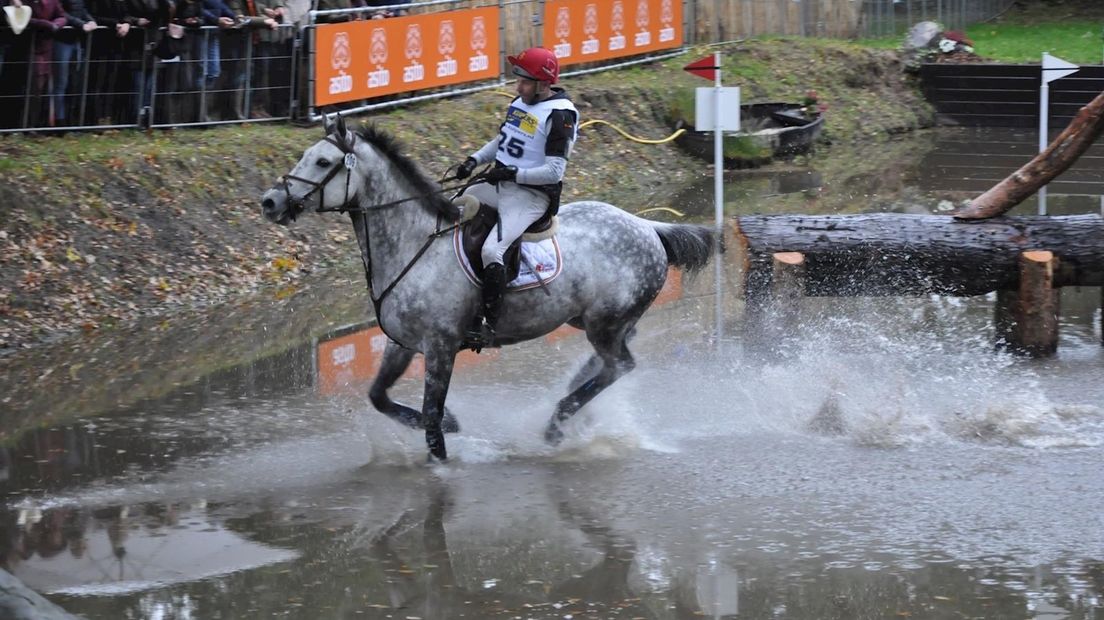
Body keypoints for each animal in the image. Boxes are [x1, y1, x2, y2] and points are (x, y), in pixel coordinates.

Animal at [262, 115, 715, 461]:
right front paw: (451, 423)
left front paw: (441, 460)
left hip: (604, 323)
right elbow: (379, 396)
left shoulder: (441, 346)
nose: (270, 202)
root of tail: (647, 226)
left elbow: (430, 415)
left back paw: (558, 421)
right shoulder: (402, 343)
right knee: (610, 362)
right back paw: (571, 408)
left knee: (620, 364)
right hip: (592, 320)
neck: (415, 243)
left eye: (323, 161)